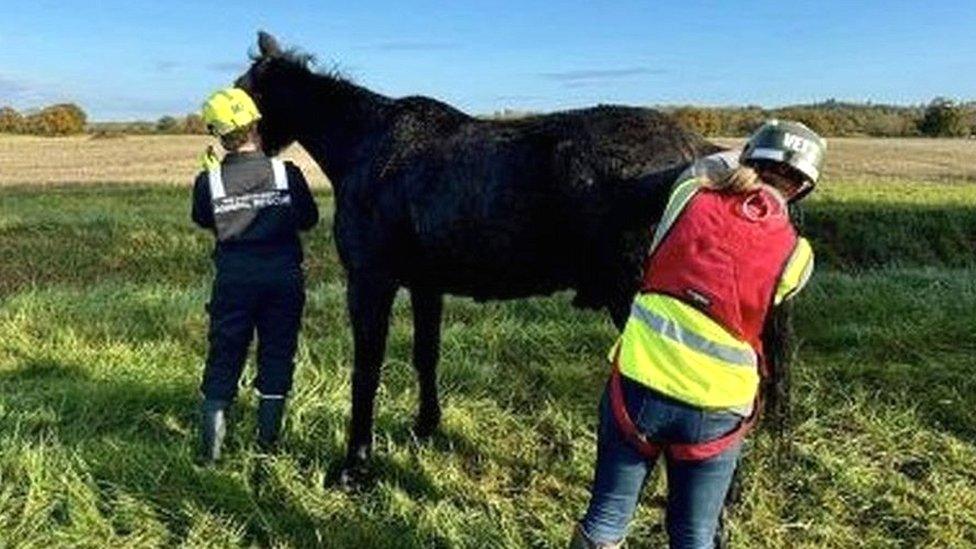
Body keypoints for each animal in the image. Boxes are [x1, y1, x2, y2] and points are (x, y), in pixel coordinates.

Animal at [236, 31, 724, 484]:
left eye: (244, 90)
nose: (231, 148)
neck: (364, 144)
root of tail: (697, 153)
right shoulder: (425, 286)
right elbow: (425, 355)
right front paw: (425, 426)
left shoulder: (370, 281)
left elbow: (367, 370)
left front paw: (355, 464)